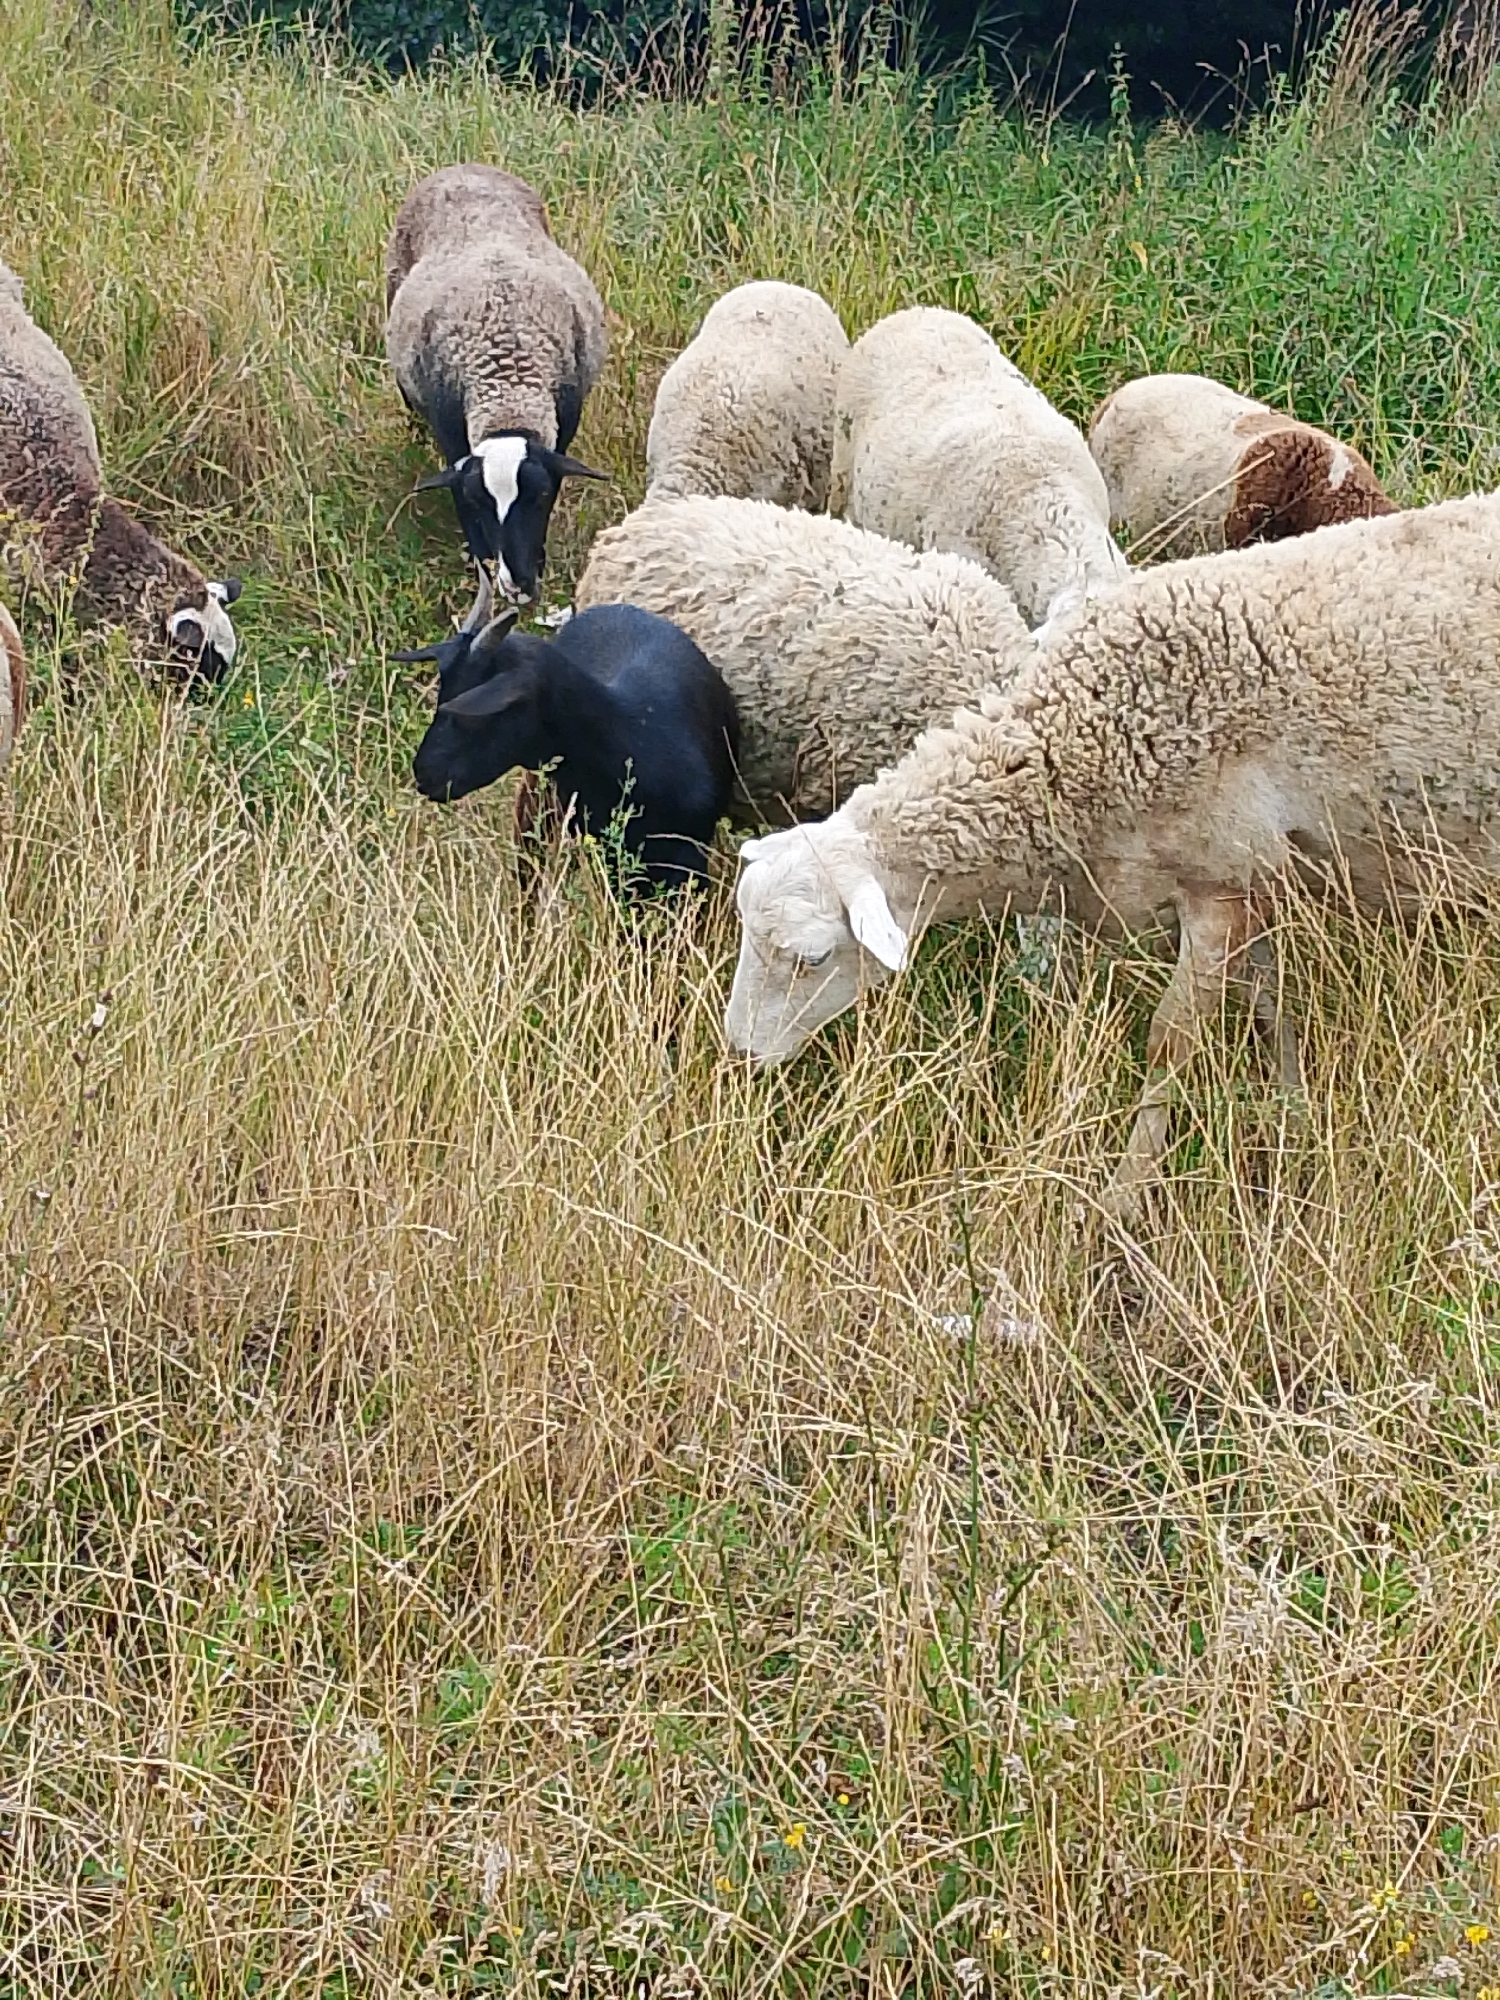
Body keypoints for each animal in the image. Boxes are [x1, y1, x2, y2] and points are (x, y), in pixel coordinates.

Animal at [385, 164, 609, 600]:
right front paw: (484, 564)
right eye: (478, 502)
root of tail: (462, 167)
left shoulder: (564, 423)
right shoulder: (452, 435)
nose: (519, 581)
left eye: (540, 496)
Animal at [723, 488, 1500, 1215]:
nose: (739, 1056)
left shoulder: (1218, 883)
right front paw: (1292, 1110)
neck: (1076, 745)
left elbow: (1170, 1043)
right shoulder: (1257, 873)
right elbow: (1270, 1001)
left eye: (813, 959)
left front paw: (1124, 1195)